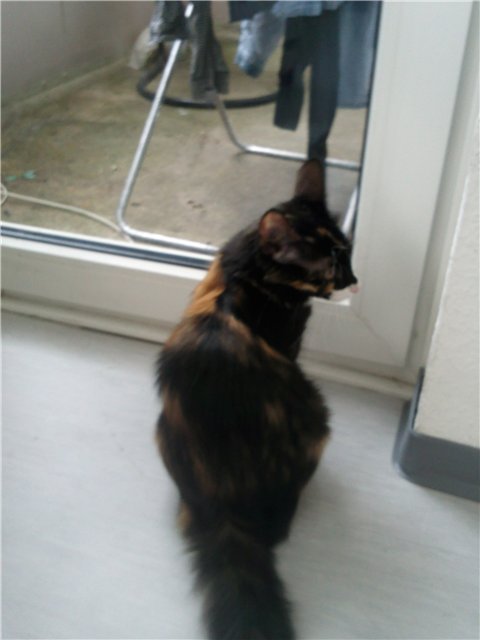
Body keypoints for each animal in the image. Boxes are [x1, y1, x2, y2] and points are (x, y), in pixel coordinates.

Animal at [156, 159, 358, 640]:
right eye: (331, 267)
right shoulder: (291, 344)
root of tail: (225, 507)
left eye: (349, 254)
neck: (243, 270)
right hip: (318, 417)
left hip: (162, 432)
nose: (355, 280)